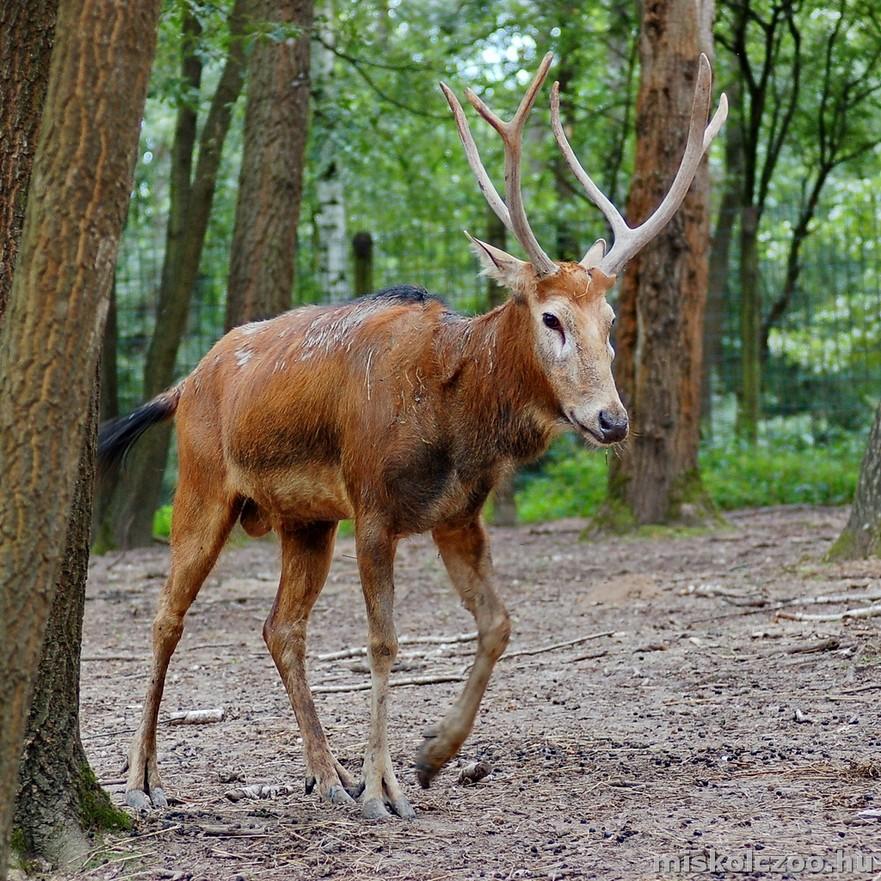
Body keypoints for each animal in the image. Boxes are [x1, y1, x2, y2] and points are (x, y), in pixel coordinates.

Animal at [99, 51, 724, 820]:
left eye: (609, 322)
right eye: (550, 317)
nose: (612, 419)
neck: (459, 426)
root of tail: (185, 383)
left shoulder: (458, 515)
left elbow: (498, 624)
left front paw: (431, 755)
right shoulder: (373, 506)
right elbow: (385, 641)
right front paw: (383, 788)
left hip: (305, 518)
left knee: (281, 627)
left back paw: (325, 774)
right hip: (203, 482)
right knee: (166, 617)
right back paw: (142, 781)